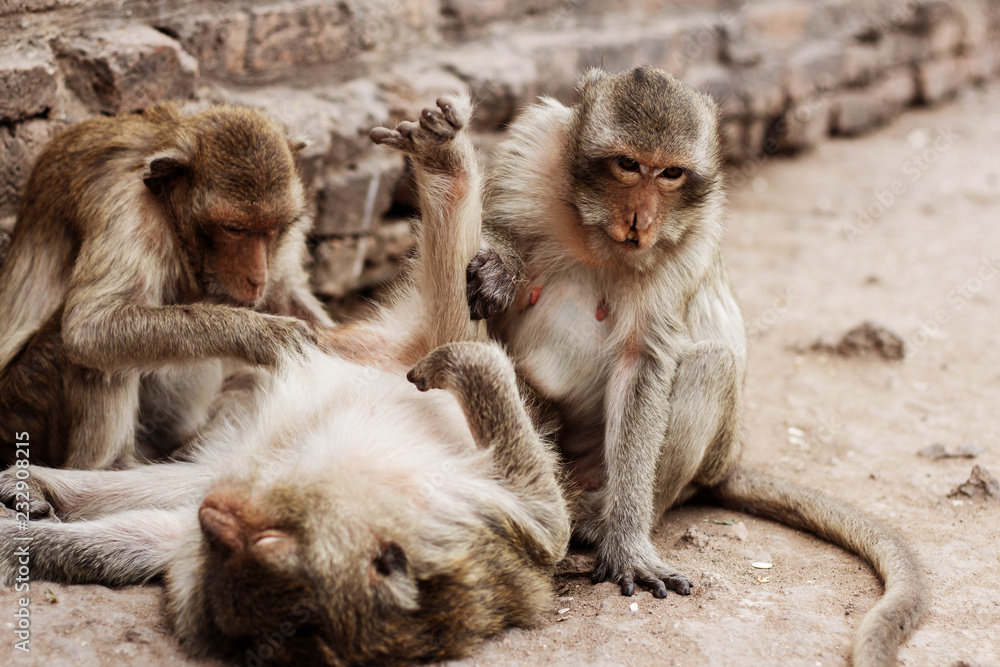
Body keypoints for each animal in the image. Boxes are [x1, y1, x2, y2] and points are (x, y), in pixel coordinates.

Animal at [0, 104, 336, 470]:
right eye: (234, 229)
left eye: (272, 228)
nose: (257, 277)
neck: (166, 207)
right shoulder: (128, 208)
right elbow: (90, 326)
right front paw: (263, 336)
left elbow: (285, 294)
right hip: (22, 408)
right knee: (83, 350)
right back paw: (106, 470)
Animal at [468, 65, 928, 664]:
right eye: (628, 164)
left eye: (670, 173)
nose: (639, 220)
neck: (594, 231)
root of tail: (728, 463)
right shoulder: (533, 146)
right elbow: (498, 230)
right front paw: (498, 268)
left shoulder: (690, 237)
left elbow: (645, 363)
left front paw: (629, 547)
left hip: (688, 464)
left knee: (711, 363)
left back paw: (598, 525)